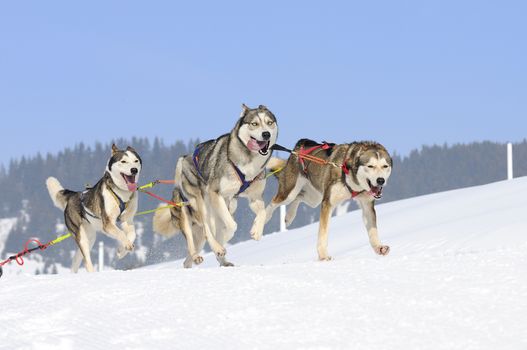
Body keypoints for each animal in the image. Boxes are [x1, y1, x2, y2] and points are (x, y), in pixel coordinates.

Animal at [46, 144, 141, 272]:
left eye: (136, 161)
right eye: (123, 161)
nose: (134, 170)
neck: (121, 192)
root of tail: (73, 195)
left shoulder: (127, 220)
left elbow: (132, 234)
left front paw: (122, 251)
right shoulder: (108, 224)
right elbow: (121, 233)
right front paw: (126, 245)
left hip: (90, 237)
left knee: (77, 259)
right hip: (81, 237)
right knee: (86, 260)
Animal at [153, 105, 278, 266]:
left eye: (269, 122)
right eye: (254, 123)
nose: (266, 134)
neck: (248, 162)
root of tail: (184, 158)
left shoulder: (254, 197)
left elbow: (262, 213)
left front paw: (256, 231)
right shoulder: (215, 193)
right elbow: (232, 226)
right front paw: (221, 245)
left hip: (225, 208)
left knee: (189, 256)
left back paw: (213, 260)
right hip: (198, 204)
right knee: (205, 230)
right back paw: (213, 249)